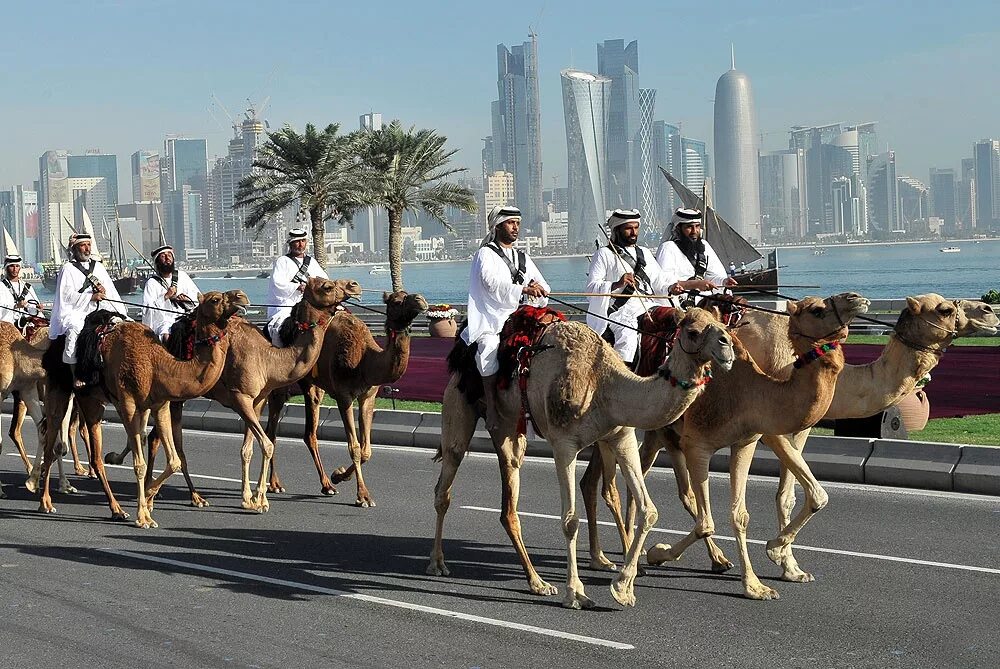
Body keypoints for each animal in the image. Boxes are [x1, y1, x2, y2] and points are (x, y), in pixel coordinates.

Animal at [35, 288, 248, 528]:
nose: (242, 297)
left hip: (92, 401)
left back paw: (116, 509)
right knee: (53, 440)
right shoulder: (128, 403)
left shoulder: (160, 405)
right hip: (60, 390)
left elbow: (174, 460)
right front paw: (143, 516)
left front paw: (148, 497)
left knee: (91, 453)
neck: (156, 364)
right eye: (215, 299)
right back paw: (46, 502)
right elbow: (140, 464)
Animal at [131, 276, 362, 512]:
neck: (269, 359)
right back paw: (166, 496)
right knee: (164, 439)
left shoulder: (258, 401)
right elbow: (267, 444)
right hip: (175, 394)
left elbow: (248, 449)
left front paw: (248, 498)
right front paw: (261, 500)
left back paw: (181, 495)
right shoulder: (241, 397)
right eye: (327, 286)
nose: (354, 286)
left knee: (160, 437)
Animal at [262, 290, 430, 504]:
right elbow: (354, 447)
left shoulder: (368, 396)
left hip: (313, 387)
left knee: (309, 432)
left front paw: (339, 475)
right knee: (271, 431)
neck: (366, 360)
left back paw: (327, 485)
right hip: (279, 386)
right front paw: (363, 496)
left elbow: (366, 450)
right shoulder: (344, 396)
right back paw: (275, 484)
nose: (420, 300)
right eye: (396, 301)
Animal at [426, 306, 740, 608]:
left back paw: (537, 581)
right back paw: (438, 563)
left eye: (722, 324)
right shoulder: (563, 444)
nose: (727, 347)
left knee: (509, 497)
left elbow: (649, 510)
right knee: (447, 478)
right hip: (459, 405)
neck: (603, 382)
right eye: (692, 331)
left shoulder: (621, 435)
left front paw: (623, 588)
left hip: (509, 430)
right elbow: (570, 520)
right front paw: (576, 593)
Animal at [644, 292, 872, 600]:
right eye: (816, 309)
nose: (856, 298)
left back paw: (716, 560)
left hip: (663, 436)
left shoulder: (745, 442)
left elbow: (739, 516)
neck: (747, 392)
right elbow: (706, 522)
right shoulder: (697, 445)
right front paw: (658, 552)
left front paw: (755, 585)